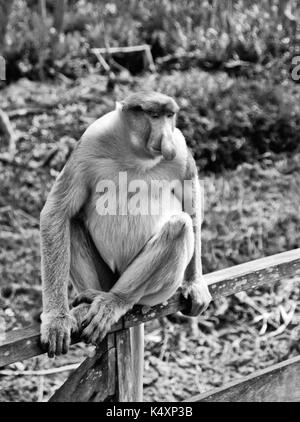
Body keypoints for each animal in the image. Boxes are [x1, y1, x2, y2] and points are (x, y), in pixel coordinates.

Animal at [39, 92, 211, 366]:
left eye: (169, 116)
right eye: (154, 116)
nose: (167, 142)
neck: (136, 155)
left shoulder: (182, 151)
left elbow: (191, 208)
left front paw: (194, 284)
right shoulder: (89, 143)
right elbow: (57, 213)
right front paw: (56, 320)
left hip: (156, 293)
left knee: (179, 226)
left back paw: (115, 301)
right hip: (107, 276)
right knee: (72, 222)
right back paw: (90, 300)